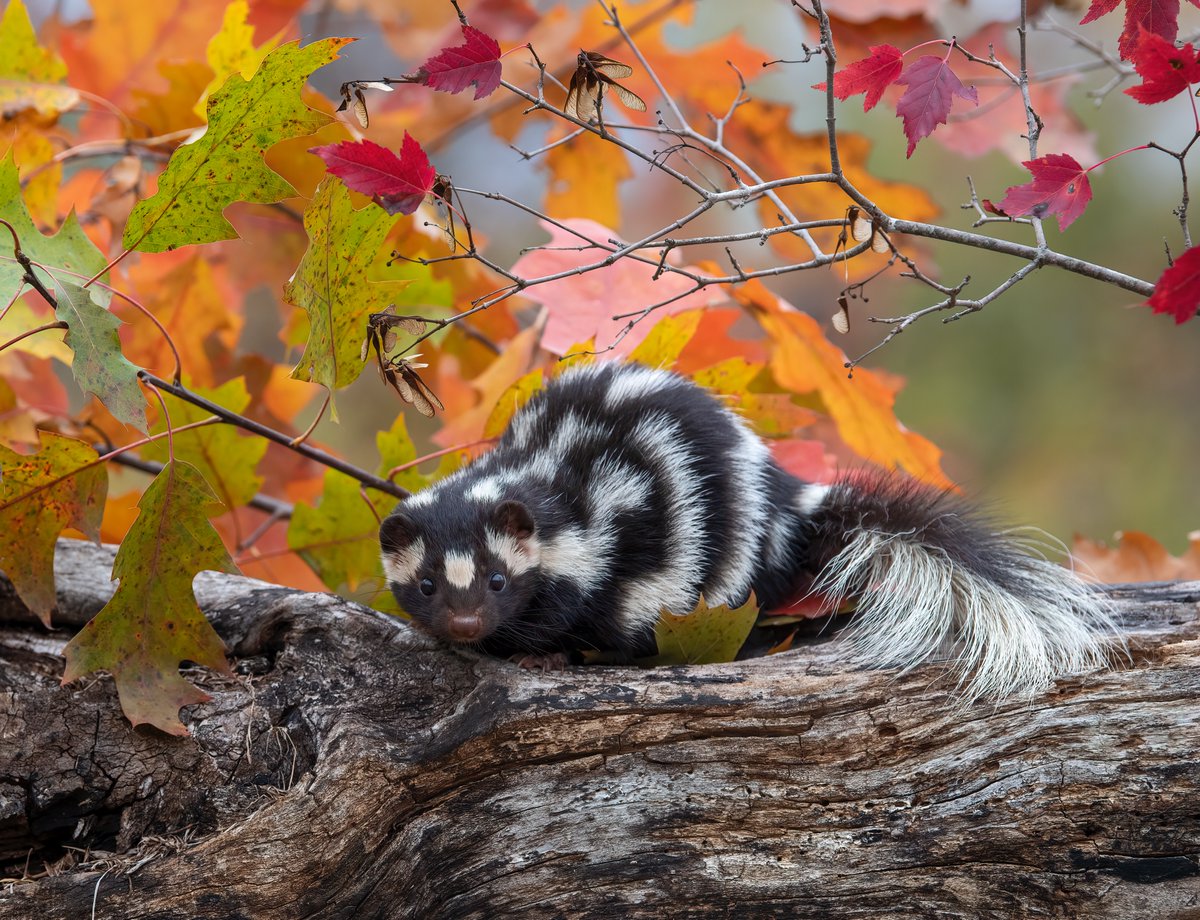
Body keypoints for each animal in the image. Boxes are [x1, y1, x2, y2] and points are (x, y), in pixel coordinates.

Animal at [379, 359, 1118, 700]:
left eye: (499, 579)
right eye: (426, 584)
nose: (466, 624)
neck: (534, 474)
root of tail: (782, 492)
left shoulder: (604, 534)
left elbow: (587, 604)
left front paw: (543, 654)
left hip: (724, 541)